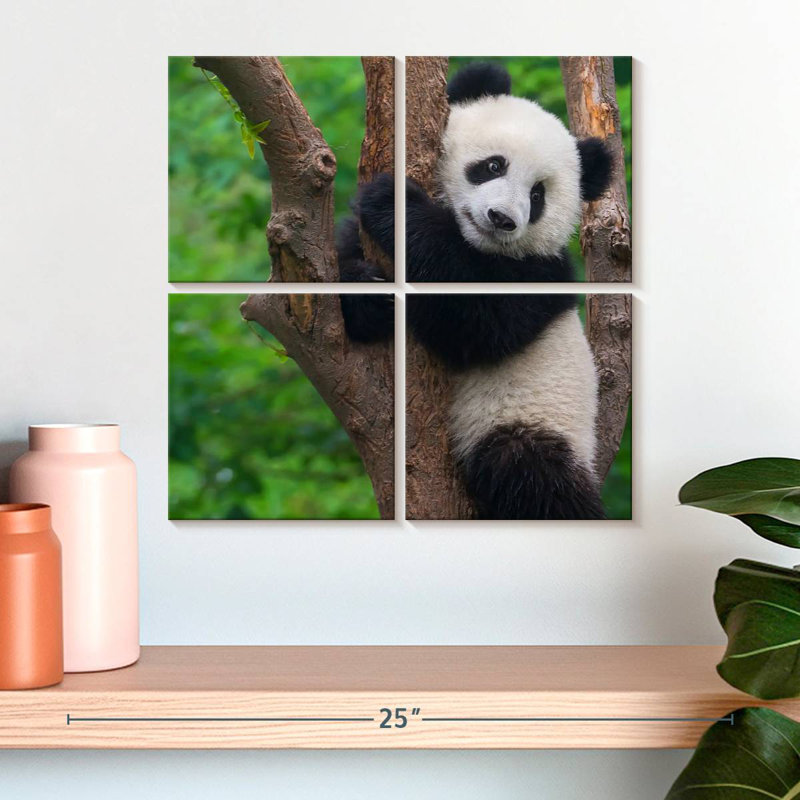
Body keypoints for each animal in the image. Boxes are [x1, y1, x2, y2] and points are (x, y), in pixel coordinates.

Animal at [338, 61, 614, 520]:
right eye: (493, 166)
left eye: (537, 195)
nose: (502, 218)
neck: (474, 244)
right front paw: (367, 293)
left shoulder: (541, 275)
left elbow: (479, 323)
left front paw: (395, 204)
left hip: (531, 419)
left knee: (530, 475)